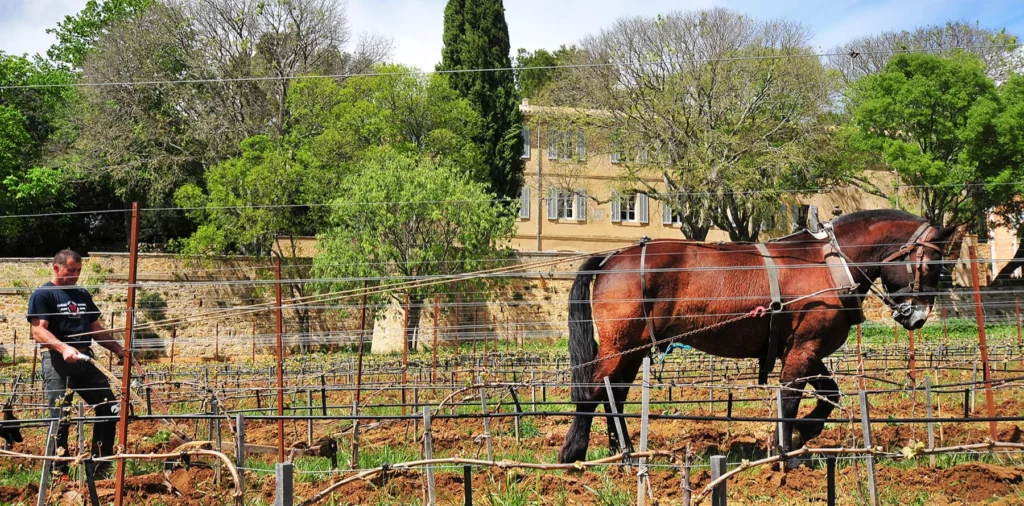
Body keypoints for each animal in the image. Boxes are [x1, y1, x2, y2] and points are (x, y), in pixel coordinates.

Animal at [557, 209, 954, 465]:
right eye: (933, 265)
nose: (918, 316)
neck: (828, 264)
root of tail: (611, 258)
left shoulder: (805, 349)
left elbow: (829, 394)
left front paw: (804, 431)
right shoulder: (804, 348)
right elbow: (790, 398)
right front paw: (785, 454)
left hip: (633, 348)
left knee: (615, 394)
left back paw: (622, 451)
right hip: (618, 345)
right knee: (593, 391)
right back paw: (574, 453)